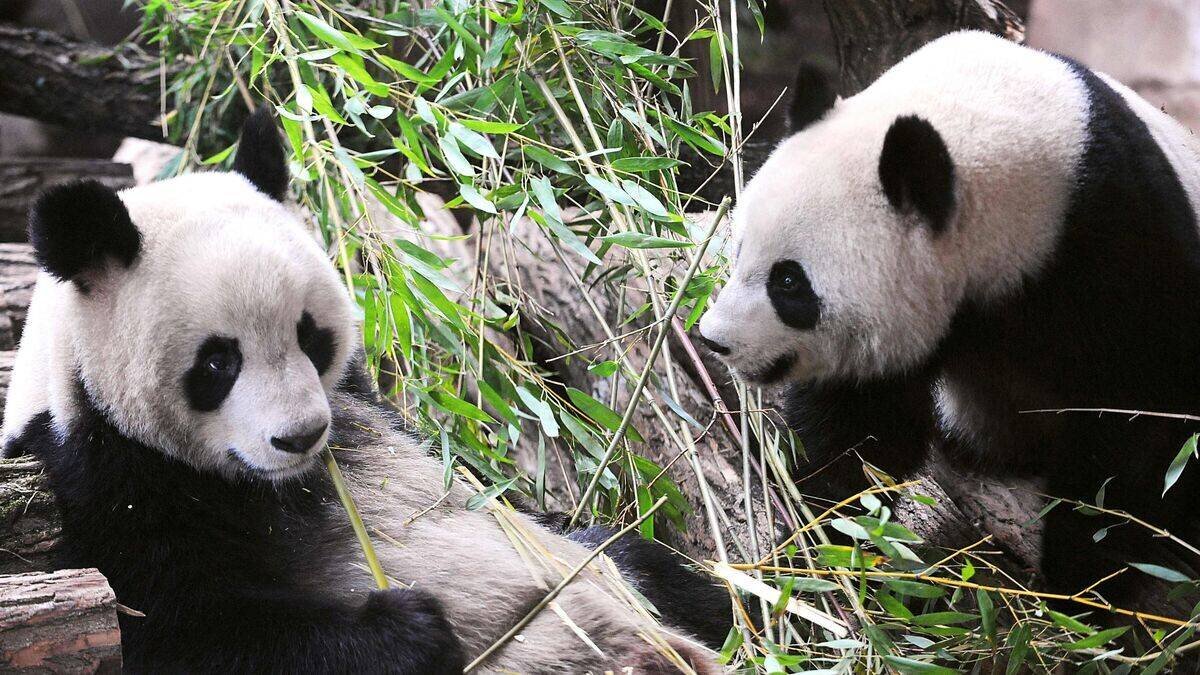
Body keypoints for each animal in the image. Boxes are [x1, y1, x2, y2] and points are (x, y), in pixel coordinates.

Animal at [2, 110, 730, 674]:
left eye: (309, 334)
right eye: (217, 363)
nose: (299, 436)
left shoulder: (360, 402)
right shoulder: (110, 476)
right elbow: (181, 627)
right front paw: (408, 630)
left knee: (641, 563)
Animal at [697, 30, 1200, 601]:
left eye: (789, 283)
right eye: (739, 250)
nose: (715, 339)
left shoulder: (1120, 245)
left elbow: (1137, 424)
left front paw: (1086, 584)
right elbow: (858, 434)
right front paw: (824, 547)